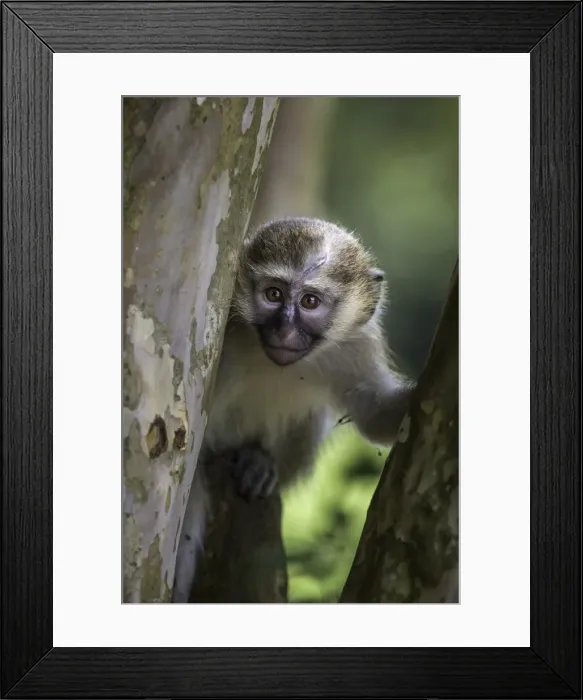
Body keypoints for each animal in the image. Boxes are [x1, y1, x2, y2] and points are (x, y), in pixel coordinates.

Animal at [171, 217, 415, 603]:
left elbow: (374, 414)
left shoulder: (354, 348)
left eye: (310, 301)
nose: (284, 329)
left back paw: (259, 463)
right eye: (273, 294)